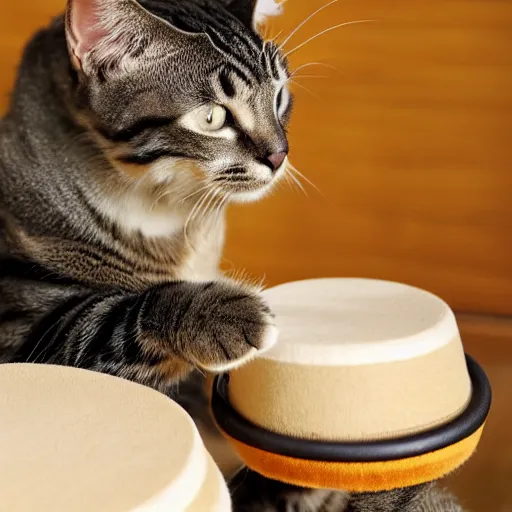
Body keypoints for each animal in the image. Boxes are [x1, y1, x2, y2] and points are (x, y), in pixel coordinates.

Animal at [0, 2, 464, 510]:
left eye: (279, 96)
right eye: (211, 117)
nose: (280, 156)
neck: (171, 215)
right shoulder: (24, 331)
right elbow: (114, 315)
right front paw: (228, 314)